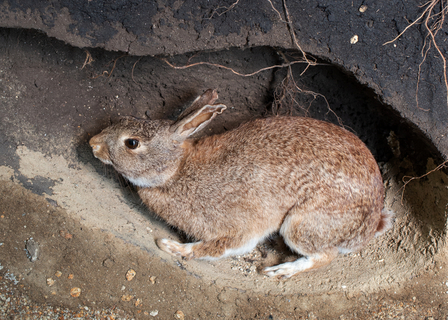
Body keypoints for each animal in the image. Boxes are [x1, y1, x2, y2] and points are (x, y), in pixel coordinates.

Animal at [89, 88, 394, 278]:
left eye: (131, 143)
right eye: (125, 119)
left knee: (324, 255)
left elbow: (218, 247)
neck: (175, 171)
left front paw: (173, 247)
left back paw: (281, 271)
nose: (93, 144)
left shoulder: (239, 228)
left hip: (302, 224)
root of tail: (371, 224)